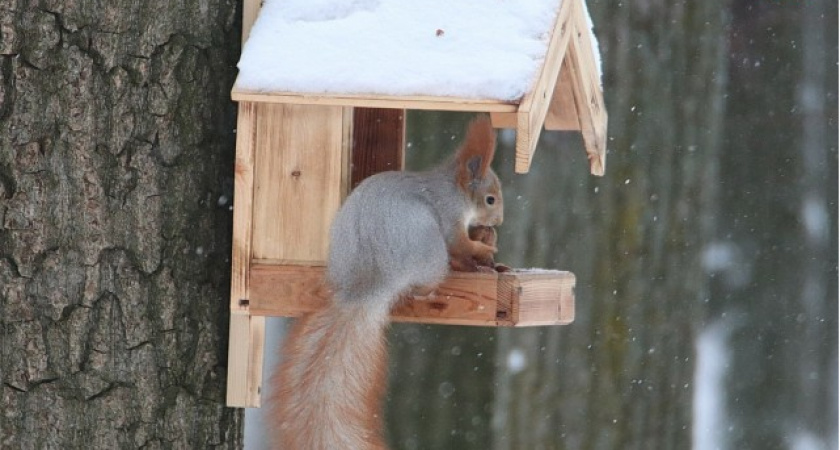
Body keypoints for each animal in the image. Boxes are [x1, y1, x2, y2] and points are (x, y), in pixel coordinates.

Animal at [272, 117, 502, 450]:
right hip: (430, 252)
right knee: (425, 283)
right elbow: (460, 245)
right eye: (490, 199)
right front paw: (484, 251)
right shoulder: (449, 217)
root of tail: (369, 283)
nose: (498, 222)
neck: (453, 189)